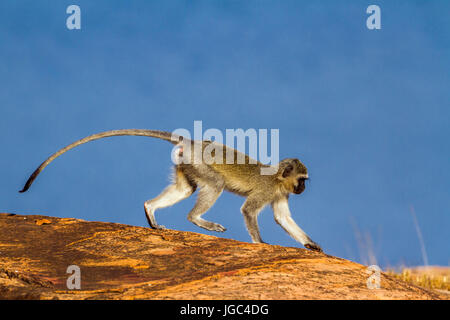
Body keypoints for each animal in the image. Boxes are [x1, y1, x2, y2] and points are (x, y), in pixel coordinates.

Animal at [21, 130, 322, 252]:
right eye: (302, 179)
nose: (303, 188)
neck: (279, 181)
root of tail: (193, 142)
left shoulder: (280, 194)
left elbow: (283, 219)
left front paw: (311, 244)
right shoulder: (267, 190)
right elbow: (249, 210)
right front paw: (260, 244)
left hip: (186, 164)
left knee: (186, 189)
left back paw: (150, 210)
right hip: (199, 163)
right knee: (214, 184)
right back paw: (197, 220)